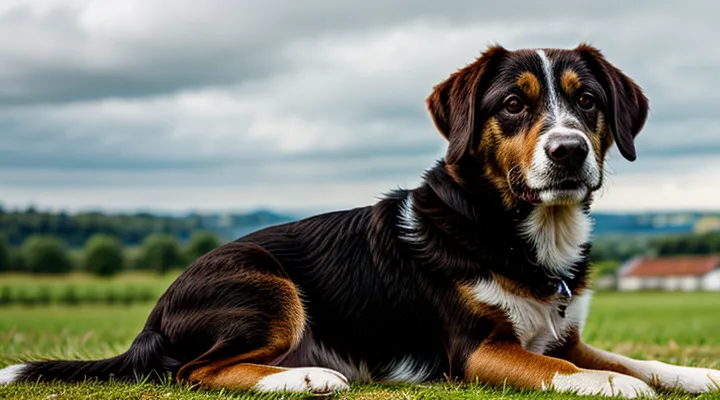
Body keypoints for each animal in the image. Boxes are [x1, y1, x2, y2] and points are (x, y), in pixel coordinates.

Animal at [1, 43, 720, 396]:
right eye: (513, 105)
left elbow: (638, 359)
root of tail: (152, 319)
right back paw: (307, 377)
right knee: (193, 371)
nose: (568, 152)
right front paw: (608, 384)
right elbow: (580, 373)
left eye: (588, 101)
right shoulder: (479, 350)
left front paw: (697, 373)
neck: (513, 230)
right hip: (264, 282)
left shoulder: (561, 336)